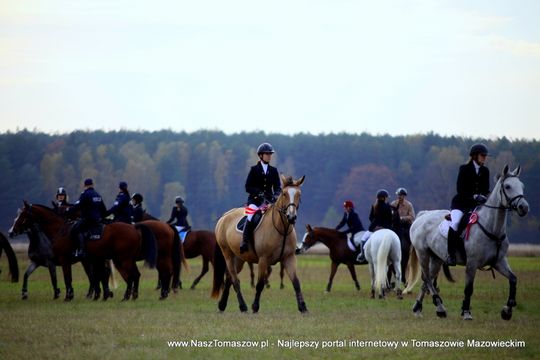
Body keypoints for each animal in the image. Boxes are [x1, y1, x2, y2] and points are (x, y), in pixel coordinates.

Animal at [8, 202, 158, 300]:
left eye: (23, 215)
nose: (11, 232)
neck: (60, 230)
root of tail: (134, 227)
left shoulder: (63, 261)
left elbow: (66, 278)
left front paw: (67, 296)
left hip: (122, 259)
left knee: (130, 276)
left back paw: (126, 296)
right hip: (123, 260)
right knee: (133, 275)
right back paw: (129, 295)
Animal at [210, 174, 306, 312]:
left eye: (299, 194)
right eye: (284, 194)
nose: (291, 217)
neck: (281, 228)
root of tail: (224, 217)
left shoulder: (289, 258)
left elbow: (296, 283)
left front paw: (303, 307)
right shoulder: (263, 259)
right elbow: (260, 284)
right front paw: (255, 306)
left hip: (239, 258)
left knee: (229, 278)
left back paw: (222, 305)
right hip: (227, 254)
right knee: (234, 280)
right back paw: (243, 306)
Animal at [404, 165, 528, 320]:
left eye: (522, 186)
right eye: (508, 186)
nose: (524, 207)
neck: (492, 228)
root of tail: (423, 215)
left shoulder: (499, 262)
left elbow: (513, 279)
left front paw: (507, 310)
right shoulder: (472, 264)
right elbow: (468, 289)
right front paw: (467, 312)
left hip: (437, 258)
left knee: (427, 281)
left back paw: (419, 308)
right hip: (423, 254)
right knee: (426, 278)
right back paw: (439, 307)